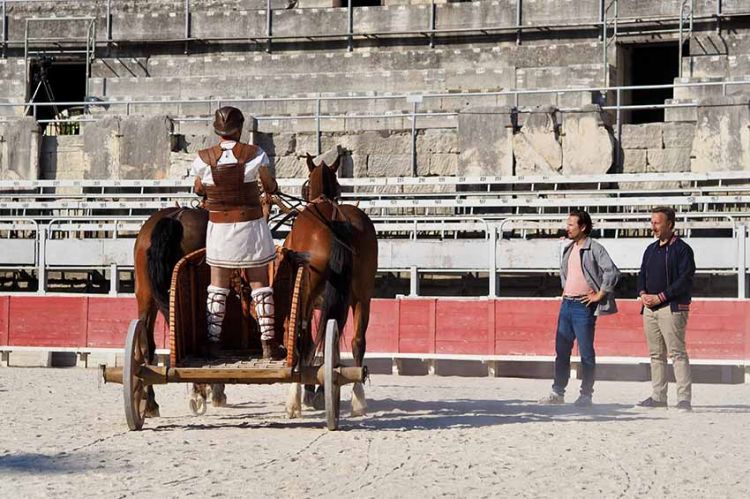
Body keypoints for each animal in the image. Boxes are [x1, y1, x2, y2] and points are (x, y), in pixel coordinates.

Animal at [284, 152, 378, 418]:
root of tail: (335, 221)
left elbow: (308, 341)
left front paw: (308, 391)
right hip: (361, 296)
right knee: (357, 341)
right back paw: (358, 397)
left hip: (308, 294)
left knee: (303, 339)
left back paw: (296, 397)